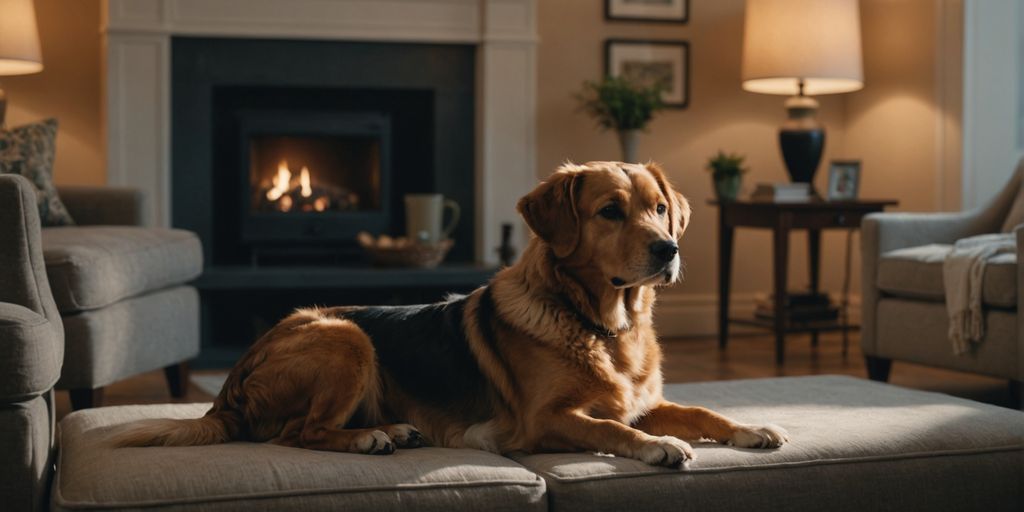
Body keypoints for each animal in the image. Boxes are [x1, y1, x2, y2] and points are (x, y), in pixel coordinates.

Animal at [116, 161, 786, 466]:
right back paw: (372, 438)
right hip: (344, 335)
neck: (603, 327)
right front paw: (659, 447)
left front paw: (751, 428)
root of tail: (227, 389)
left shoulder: (643, 400)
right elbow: (612, 430)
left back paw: (394, 430)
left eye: (658, 208)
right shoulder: (546, 420)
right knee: (299, 433)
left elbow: (699, 411)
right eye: (610, 212)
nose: (668, 249)